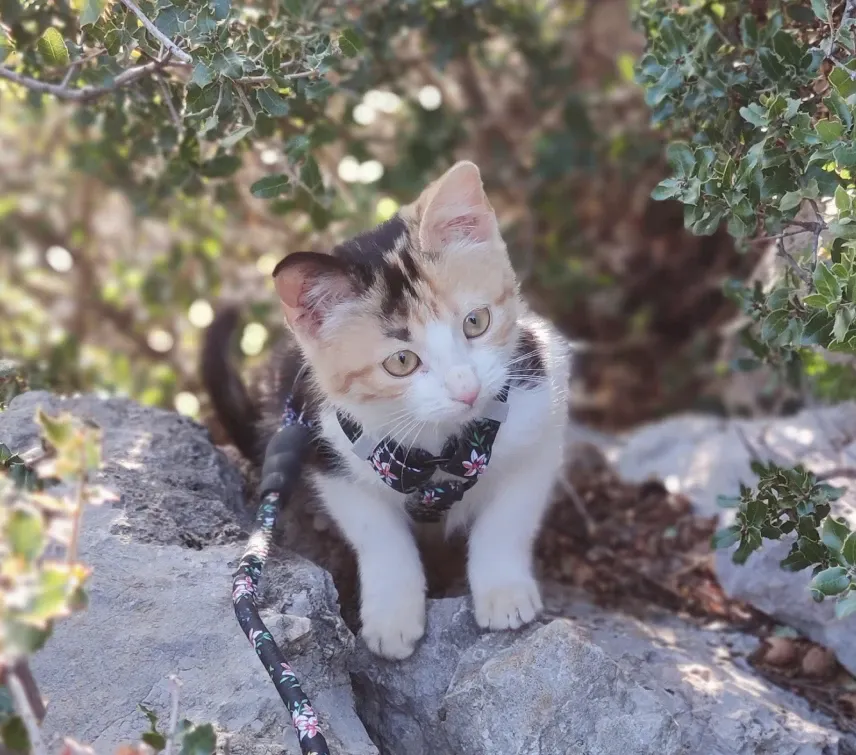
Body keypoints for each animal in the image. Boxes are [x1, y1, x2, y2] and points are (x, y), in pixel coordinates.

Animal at [204, 161, 572, 660]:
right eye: (401, 362)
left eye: (475, 322)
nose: (468, 389)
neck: (442, 447)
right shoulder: (327, 446)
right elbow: (378, 534)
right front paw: (392, 616)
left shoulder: (540, 412)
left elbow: (508, 516)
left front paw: (504, 591)